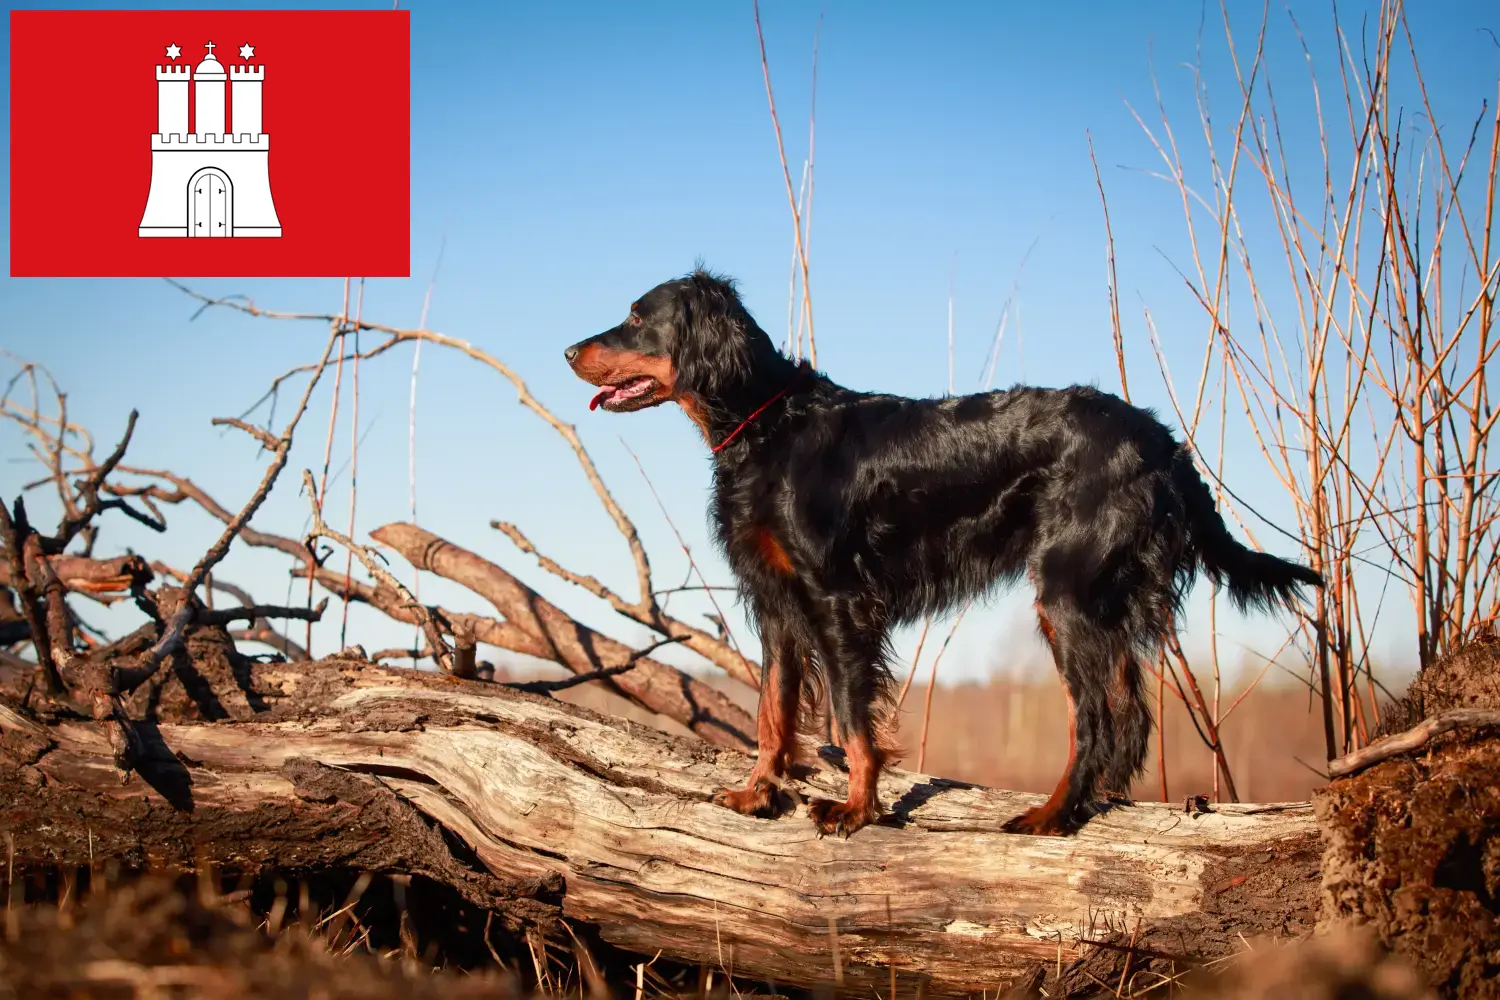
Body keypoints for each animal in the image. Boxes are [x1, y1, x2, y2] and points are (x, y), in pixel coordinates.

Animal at [564, 268, 1326, 839]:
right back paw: (1092, 802)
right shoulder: (776, 603)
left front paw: (856, 808)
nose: (568, 351)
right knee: (1130, 714)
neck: (768, 423)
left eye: (636, 316)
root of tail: (1161, 440)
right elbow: (772, 710)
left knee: (1096, 718)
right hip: (1102, 596)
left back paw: (1053, 815)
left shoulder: (839, 600)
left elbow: (851, 716)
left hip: (1066, 597)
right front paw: (759, 791)